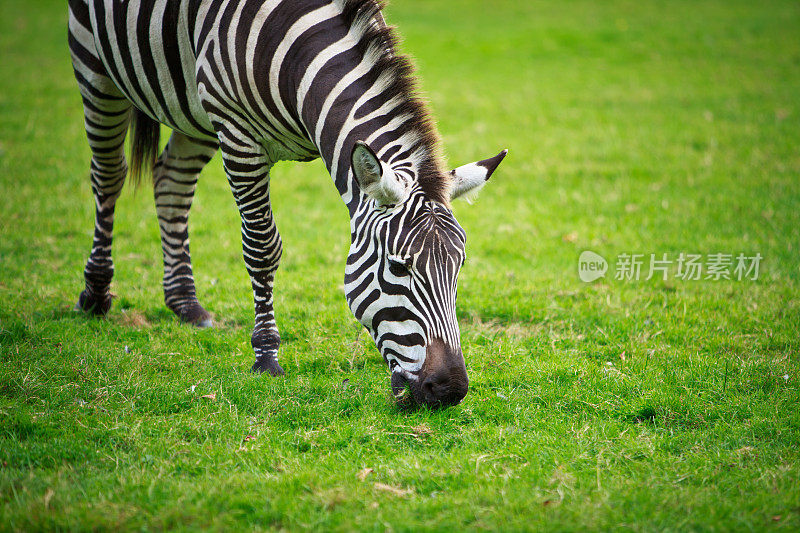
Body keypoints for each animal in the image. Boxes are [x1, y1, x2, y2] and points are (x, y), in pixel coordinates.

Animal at [69, 0, 506, 406]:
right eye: (399, 267)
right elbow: (263, 247)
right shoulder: (239, 137)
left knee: (171, 180)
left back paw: (185, 303)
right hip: (96, 68)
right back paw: (96, 291)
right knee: (109, 174)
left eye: (459, 267)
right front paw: (266, 355)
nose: (450, 390)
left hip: (192, 106)